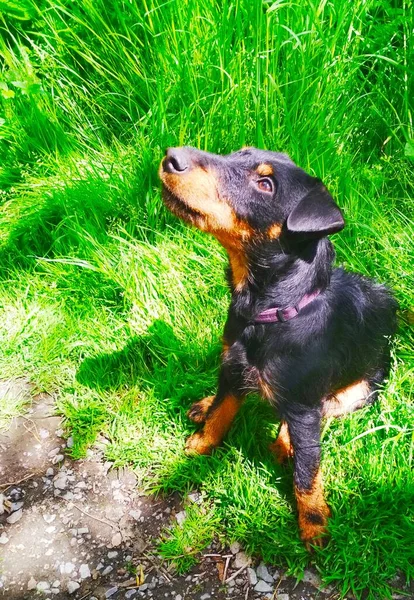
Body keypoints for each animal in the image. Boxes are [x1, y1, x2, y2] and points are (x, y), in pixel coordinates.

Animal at [158, 145, 398, 548]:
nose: (171, 156)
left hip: (359, 391)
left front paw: (314, 524)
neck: (268, 310)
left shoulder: (303, 404)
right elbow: (222, 411)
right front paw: (200, 444)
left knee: (322, 415)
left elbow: (308, 471)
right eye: (237, 153)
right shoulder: (231, 364)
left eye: (265, 184)